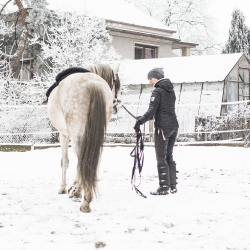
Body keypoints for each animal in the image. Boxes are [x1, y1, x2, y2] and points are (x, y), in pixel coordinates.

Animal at [48, 63, 121, 212]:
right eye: (116, 84)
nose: (117, 104)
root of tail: (93, 84)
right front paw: (75, 187)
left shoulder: (63, 135)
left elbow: (65, 162)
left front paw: (65, 188)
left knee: (82, 159)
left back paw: (85, 200)